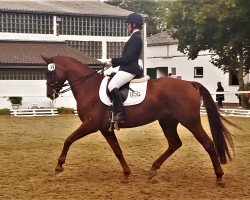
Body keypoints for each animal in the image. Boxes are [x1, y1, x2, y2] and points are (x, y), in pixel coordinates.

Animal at [41, 55, 234, 186]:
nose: (50, 94)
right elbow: (117, 150)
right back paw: (153, 169)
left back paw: (219, 177)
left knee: (208, 144)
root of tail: (189, 83)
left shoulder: (90, 124)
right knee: (174, 143)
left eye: (49, 73)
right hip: (168, 121)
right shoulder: (105, 129)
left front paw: (59, 166)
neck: (88, 87)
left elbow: (68, 140)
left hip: (191, 122)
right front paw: (126, 173)